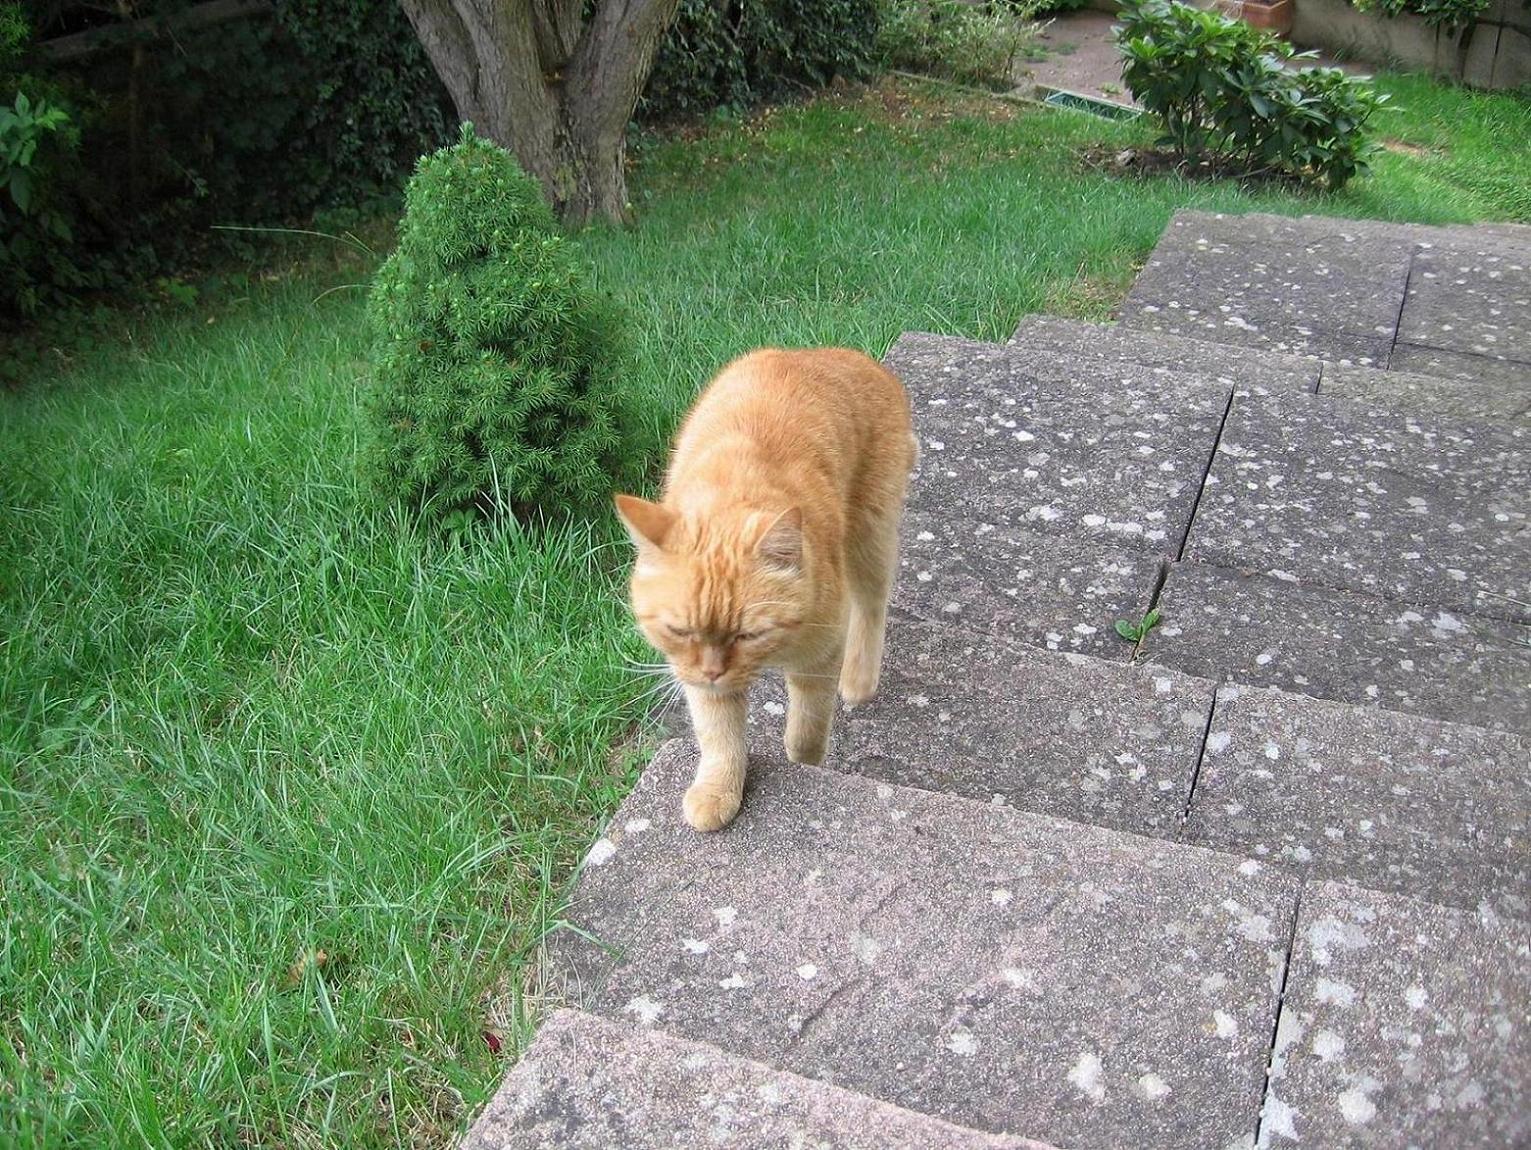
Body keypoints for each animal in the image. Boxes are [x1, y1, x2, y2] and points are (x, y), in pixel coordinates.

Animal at [615, 346, 912, 833]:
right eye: (680, 631)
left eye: (749, 634)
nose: (713, 672)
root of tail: (847, 355)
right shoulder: (696, 675)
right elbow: (720, 736)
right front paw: (718, 791)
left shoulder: (818, 659)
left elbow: (807, 730)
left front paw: (804, 767)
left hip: (871, 536)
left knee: (872, 606)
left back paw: (859, 679)